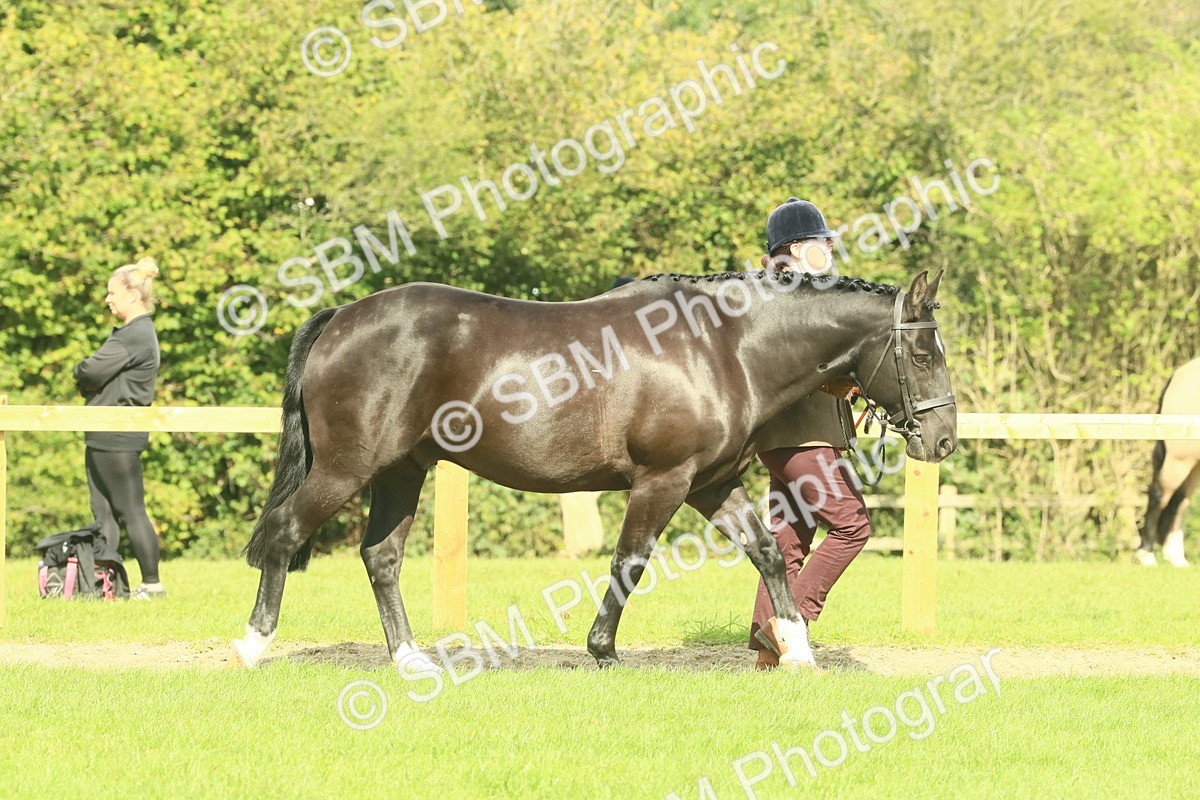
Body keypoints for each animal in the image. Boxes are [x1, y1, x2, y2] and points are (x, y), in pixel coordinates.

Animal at [232, 269, 957, 671]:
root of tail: (341, 318)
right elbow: (630, 559)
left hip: (401, 470)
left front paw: (798, 650)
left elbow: (769, 554)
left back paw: (409, 658)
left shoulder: (711, 483)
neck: (724, 348)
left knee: (381, 557)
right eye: (923, 354)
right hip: (346, 468)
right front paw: (602, 648)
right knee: (284, 535)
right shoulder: (663, 480)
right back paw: (251, 645)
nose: (944, 439)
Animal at [1136, 356, 1200, 567]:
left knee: (1179, 501)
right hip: (1180, 459)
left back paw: (1176, 558)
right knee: (1160, 495)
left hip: (1193, 462)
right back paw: (1146, 554)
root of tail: (1178, 375)